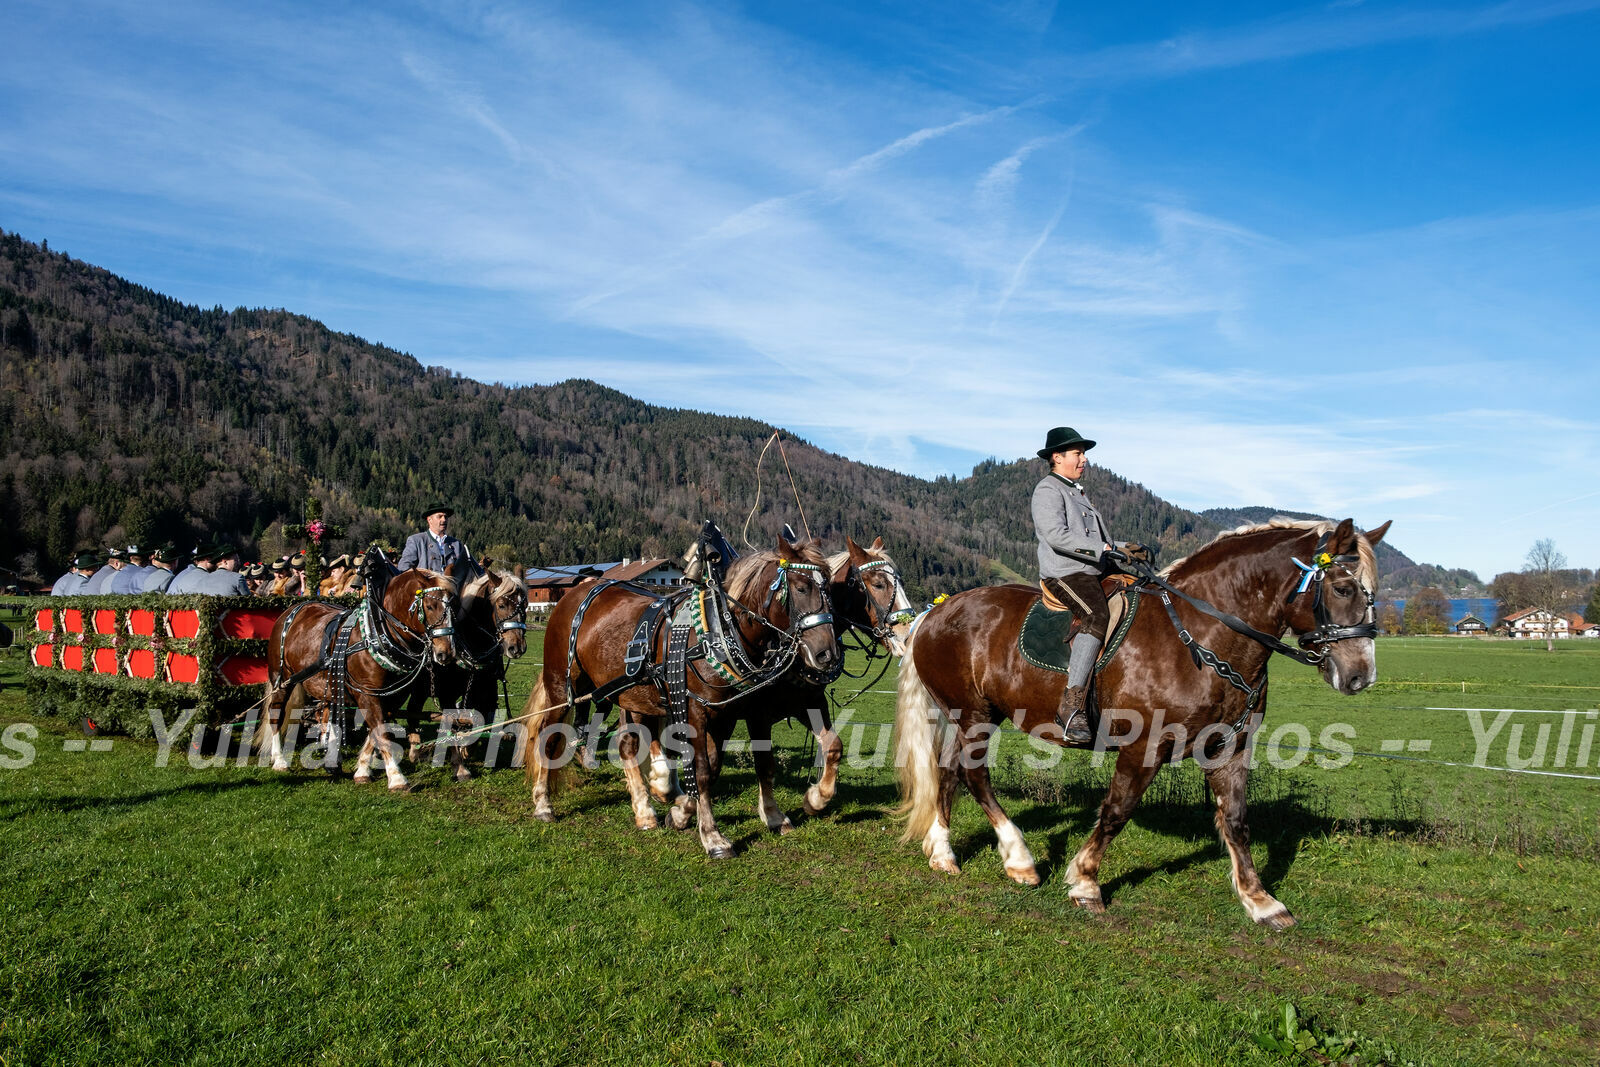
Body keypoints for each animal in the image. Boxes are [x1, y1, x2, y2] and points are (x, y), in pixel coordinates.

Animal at [256, 556, 457, 790]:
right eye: (431, 606)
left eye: (452, 609)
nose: (445, 653)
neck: (380, 632)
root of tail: (292, 610)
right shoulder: (367, 693)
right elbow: (381, 732)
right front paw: (396, 777)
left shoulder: (392, 697)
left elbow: (375, 732)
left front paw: (362, 770)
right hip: (282, 679)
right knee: (276, 714)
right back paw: (279, 759)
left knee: (328, 716)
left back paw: (332, 759)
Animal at [524, 543, 844, 857]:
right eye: (801, 588)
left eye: (830, 590)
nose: (827, 655)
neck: (719, 632)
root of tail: (577, 592)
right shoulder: (698, 711)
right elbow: (701, 771)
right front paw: (712, 837)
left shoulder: (731, 713)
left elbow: (724, 766)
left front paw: (681, 813)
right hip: (562, 687)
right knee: (549, 738)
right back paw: (543, 804)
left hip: (631, 695)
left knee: (628, 744)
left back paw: (645, 810)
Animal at [902, 518, 1388, 927]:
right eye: (1343, 588)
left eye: (1371, 594)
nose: (1360, 676)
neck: (1204, 635)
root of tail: (938, 611)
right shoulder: (1145, 745)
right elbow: (1117, 810)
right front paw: (1085, 883)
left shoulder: (1230, 747)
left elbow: (1235, 819)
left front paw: (1260, 900)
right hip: (975, 714)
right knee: (974, 775)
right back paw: (1019, 859)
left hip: (969, 715)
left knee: (949, 772)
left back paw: (943, 853)